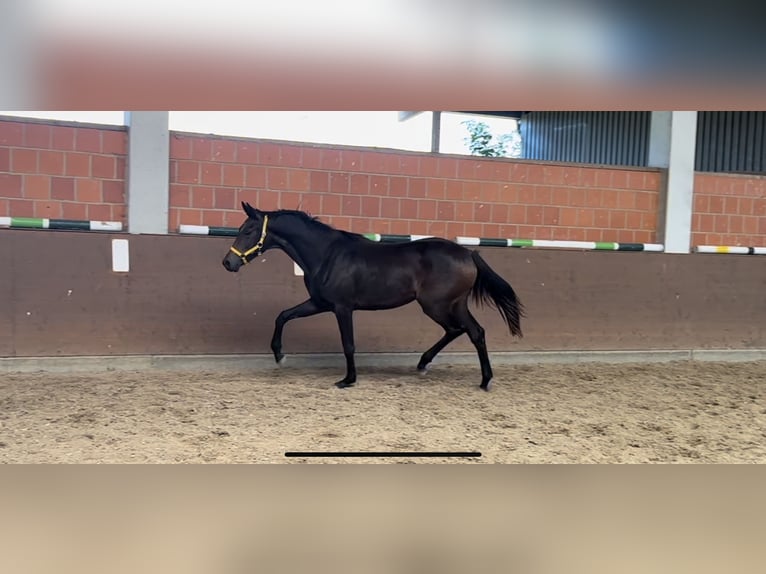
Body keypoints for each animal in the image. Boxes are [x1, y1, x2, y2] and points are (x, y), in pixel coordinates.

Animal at [220, 202, 520, 392]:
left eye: (248, 230)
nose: (228, 263)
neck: (327, 254)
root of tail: (469, 253)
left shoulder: (342, 307)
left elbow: (348, 344)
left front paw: (348, 380)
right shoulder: (320, 303)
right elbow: (283, 316)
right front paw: (279, 354)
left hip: (437, 306)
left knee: (468, 331)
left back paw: (482, 380)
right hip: (451, 305)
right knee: (465, 331)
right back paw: (429, 365)